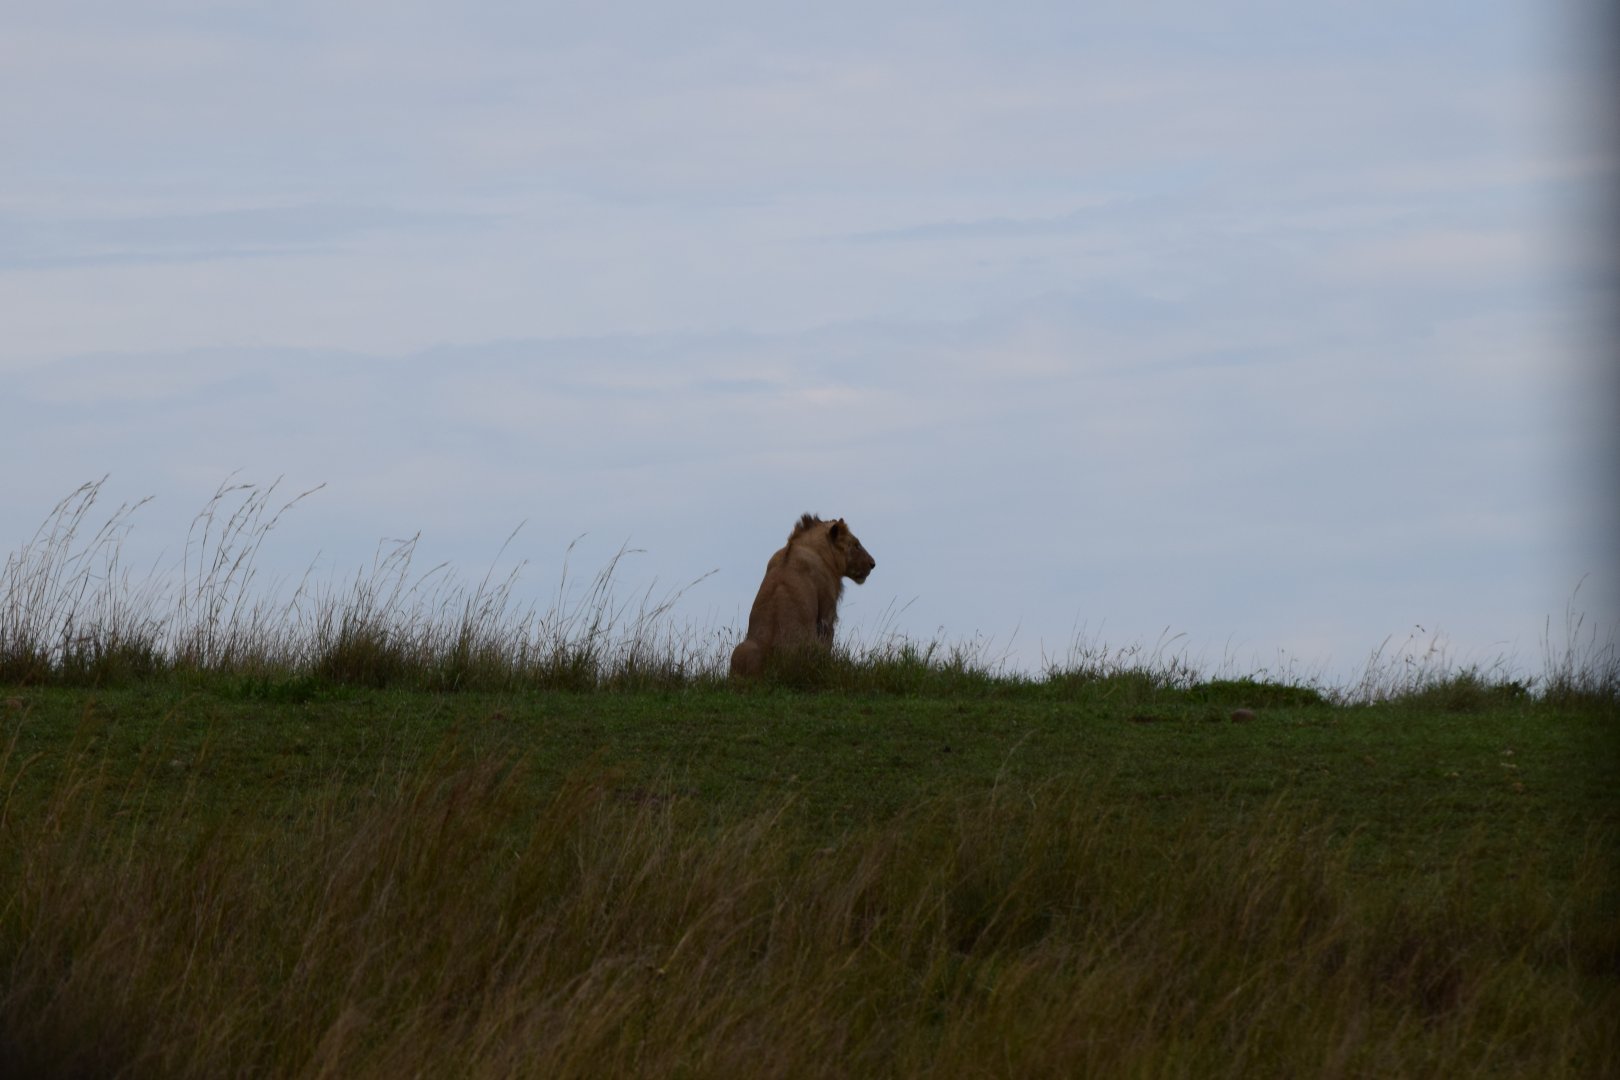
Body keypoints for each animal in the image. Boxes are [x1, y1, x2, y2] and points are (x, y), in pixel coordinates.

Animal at [729, 513, 876, 678]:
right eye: (856, 544)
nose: (873, 564)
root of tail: (772, 667)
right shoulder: (826, 612)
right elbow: (828, 641)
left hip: (740, 650)